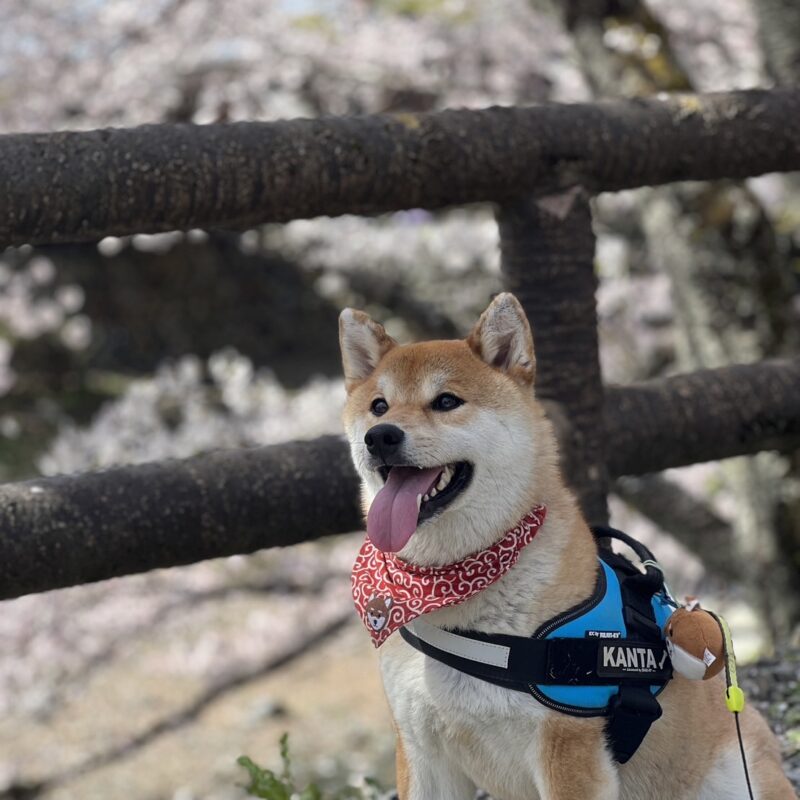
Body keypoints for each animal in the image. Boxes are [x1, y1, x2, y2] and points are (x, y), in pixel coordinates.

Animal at [338, 294, 792, 800]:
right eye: (379, 406)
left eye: (446, 402)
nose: (381, 436)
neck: (449, 586)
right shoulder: (422, 749)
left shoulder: (566, 744)